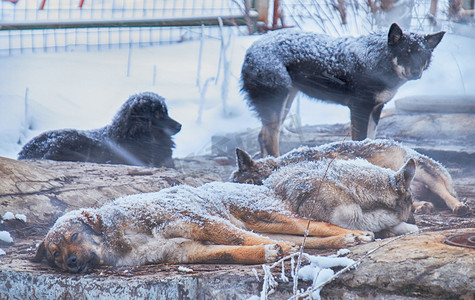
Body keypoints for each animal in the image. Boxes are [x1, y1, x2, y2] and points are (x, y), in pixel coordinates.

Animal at [33, 182, 376, 274]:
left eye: (74, 236)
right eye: (56, 255)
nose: (71, 263)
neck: (122, 238)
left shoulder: (199, 221)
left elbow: (239, 239)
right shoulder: (185, 250)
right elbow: (230, 253)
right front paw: (267, 252)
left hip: (266, 216)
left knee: (315, 225)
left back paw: (356, 234)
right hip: (273, 225)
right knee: (308, 238)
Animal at [232, 139, 470, 214]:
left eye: (249, 182)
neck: (279, 165)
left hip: (423, 172)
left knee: (445, 194)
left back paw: (458, 206)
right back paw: (422, 206)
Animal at [242, 22, 446, 157]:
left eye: (422, 56)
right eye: (405, 53)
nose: (415, 72)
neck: (378, 62)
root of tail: (251, 48)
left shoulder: (376, 108)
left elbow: (370, 139)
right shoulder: (359, 108)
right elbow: (360, 140)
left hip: (284, 104)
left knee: (263, 136)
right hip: (277, 103)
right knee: (268, 137)